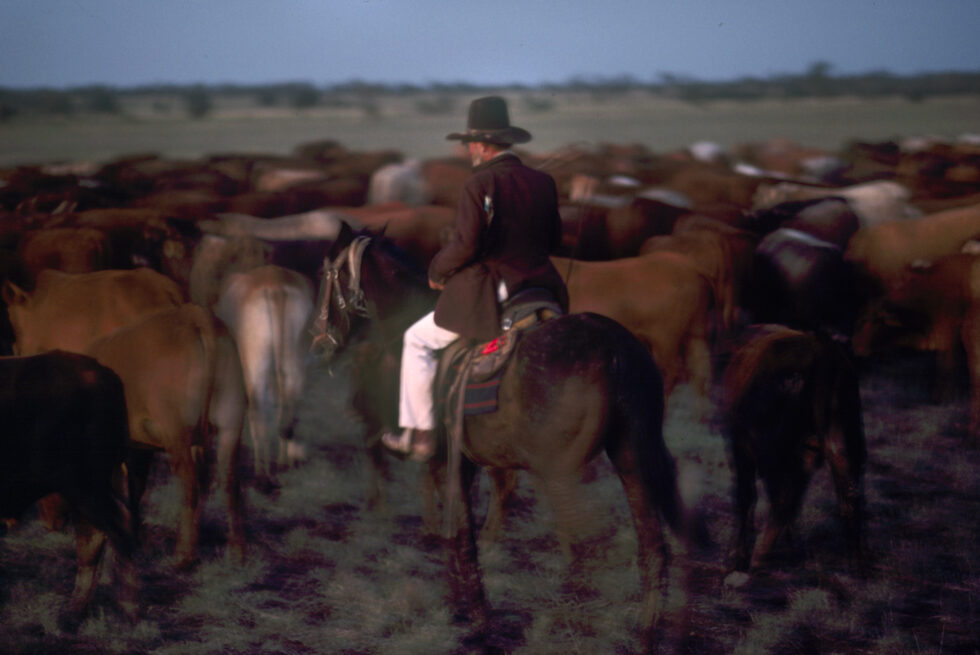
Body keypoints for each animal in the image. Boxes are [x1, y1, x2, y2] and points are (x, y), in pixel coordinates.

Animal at [0, 352, 136, 628]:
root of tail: (101, 372)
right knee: (95, 538)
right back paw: (75, 613)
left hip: (84, 488)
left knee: (113, 532)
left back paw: (127, 610)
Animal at [318, 226, 684, 652]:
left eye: (326, 275)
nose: (318, 343)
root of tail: (615, 352)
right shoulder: (465, 463)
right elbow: (459, 532)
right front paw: (461, 606)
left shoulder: (443, 461)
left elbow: (461, 534)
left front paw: (476, 620)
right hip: (631, 458)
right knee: (652, 547)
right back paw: (645, 635)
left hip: (560, 472)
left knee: (583, 547)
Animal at [720, 326, 864, 580]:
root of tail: (820, 348)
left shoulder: (743, 448)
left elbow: (747, 496)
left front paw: (738, 558)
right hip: (845, 441)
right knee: (849, 494)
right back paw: (856, 566)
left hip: (772, 451)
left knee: (779, 498)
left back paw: (758, 556)